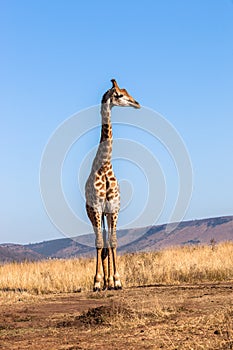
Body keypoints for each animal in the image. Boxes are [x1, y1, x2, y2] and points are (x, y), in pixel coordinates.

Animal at [85, 78, 140, 290]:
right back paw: (101, 282)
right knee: (100, 242)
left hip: (106, 214)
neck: (105, 165)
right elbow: (100, 244)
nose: (136, 103)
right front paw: (97, 282)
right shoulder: (97, 208)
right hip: (93, 213)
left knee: (107, 242)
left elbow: (113, 242)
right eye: (118, 95)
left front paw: (116, 280)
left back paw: (109, 282)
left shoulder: (114, 208)